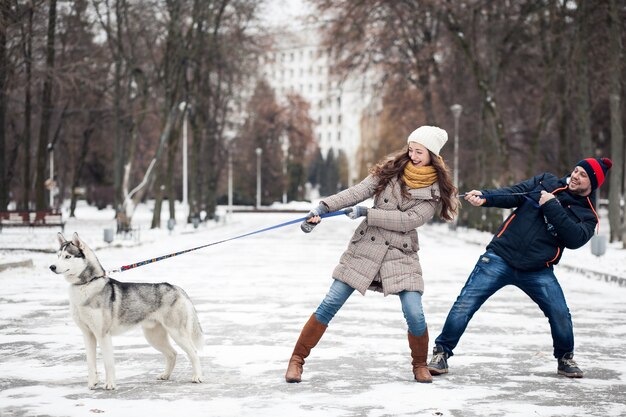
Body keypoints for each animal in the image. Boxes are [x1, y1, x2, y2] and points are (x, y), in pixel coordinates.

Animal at [51, 232, 204, 388]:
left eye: (67, 256)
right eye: (58, 255)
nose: (52, 267)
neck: (86, 285)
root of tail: (176, 287)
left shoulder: (103, 334)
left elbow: (108, 363)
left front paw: (110, 385)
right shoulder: (88, 334)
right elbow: (90, 363)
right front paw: (92, 384)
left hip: (177, 333)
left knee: (193, 352)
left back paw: (197, 376)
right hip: (154, 337)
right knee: (172, 353)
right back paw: (165, 375)